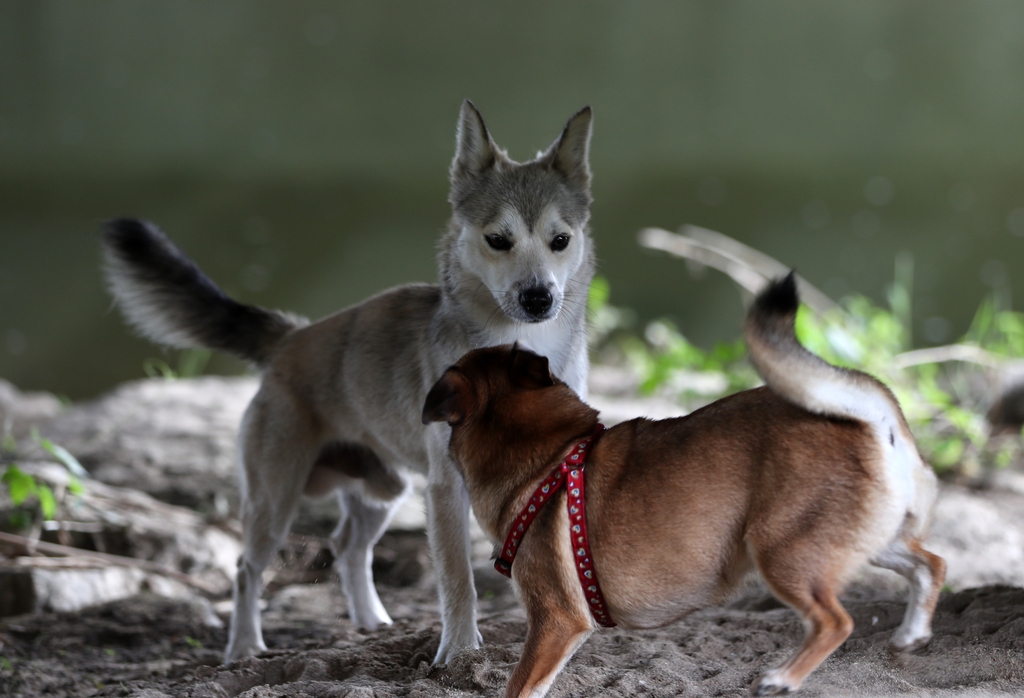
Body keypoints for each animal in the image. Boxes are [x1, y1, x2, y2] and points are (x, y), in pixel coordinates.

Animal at [99, 100, 598, 659]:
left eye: (560, 241)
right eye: (498, 241)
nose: (539, 298)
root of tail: (291, 336)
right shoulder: (446, 487)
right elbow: (457, 579)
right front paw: (459, 652)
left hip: (384, 488)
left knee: (348, 547)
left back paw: (370, 621)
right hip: (275, 501)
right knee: (248, 569)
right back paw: (245, 647)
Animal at [421, 272, 942, 695]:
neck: (551, 456)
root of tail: (871, 421)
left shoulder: (555, 620)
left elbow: (520, 686)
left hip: (784, 552)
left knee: (836, 621)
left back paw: (782, 678)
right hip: (867, 542)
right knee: (931, 565)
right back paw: (910, 634)